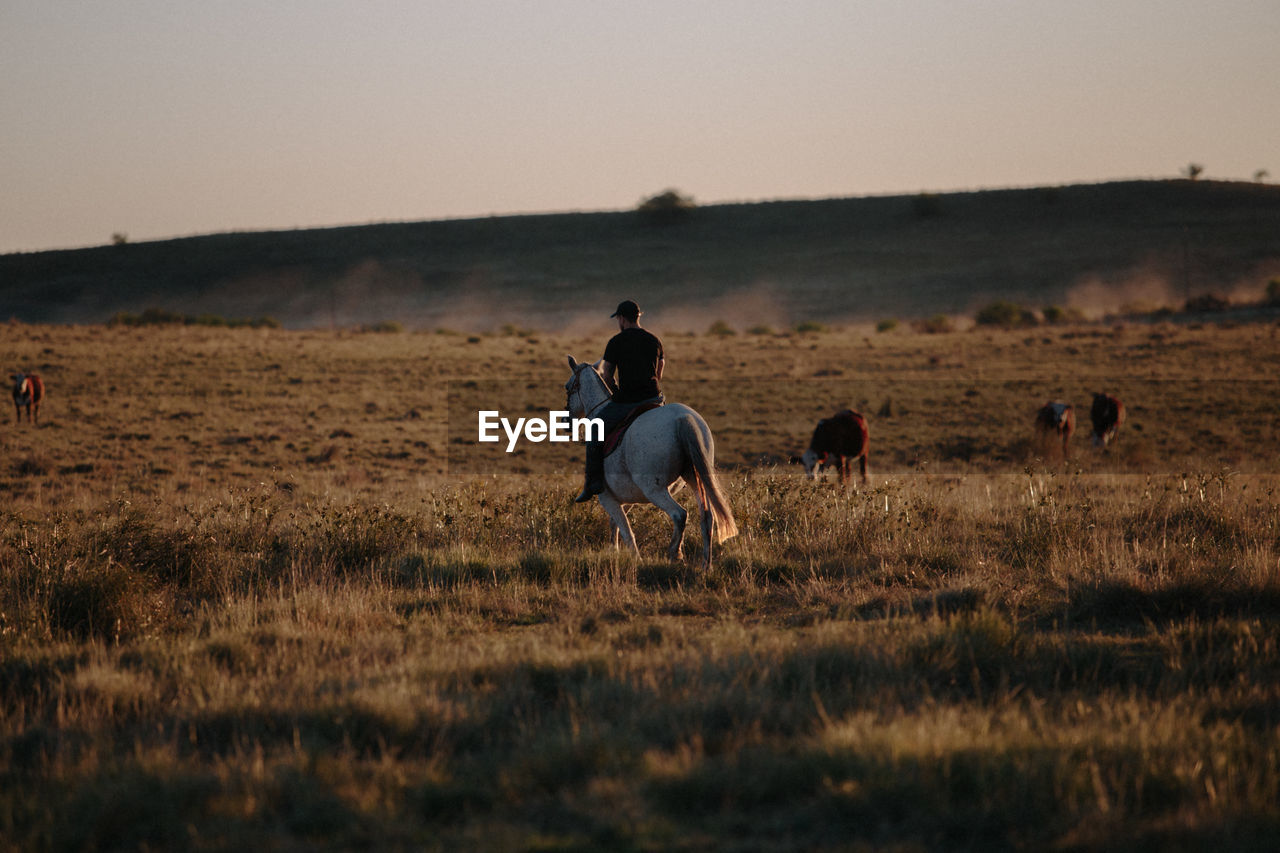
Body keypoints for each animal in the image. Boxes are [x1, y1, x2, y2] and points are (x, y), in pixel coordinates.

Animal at [563, 356, 737, 568]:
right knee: (707, 518)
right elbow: (617, 525)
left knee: (680, 515)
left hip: (655, 490)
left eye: (568, 387)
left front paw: (635, 559)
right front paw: (614, 551)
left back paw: (675, 552)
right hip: (695, 478)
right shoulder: (629, 497)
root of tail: (683, 419)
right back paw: (706, 564)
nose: (565, 420)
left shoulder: (607, 498)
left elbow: (626, 530)